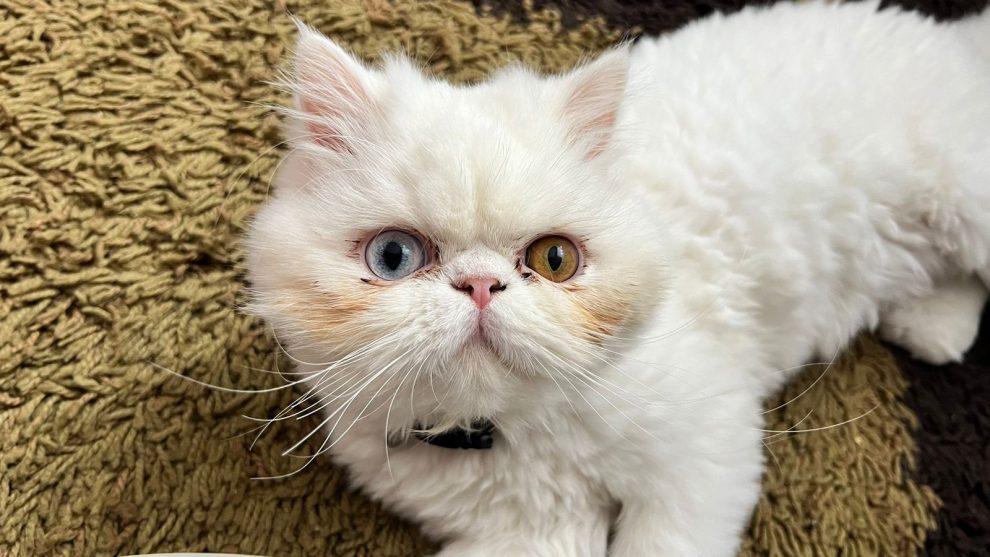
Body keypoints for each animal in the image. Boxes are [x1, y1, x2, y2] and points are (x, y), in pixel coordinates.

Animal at [246, 2, 990, 552]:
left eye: (555, 260)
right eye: (395, 257)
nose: (482, 286)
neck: (520, 437)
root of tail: (959, 42)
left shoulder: (705, 458)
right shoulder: (531, 531)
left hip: (968, 203)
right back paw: (933, 327)